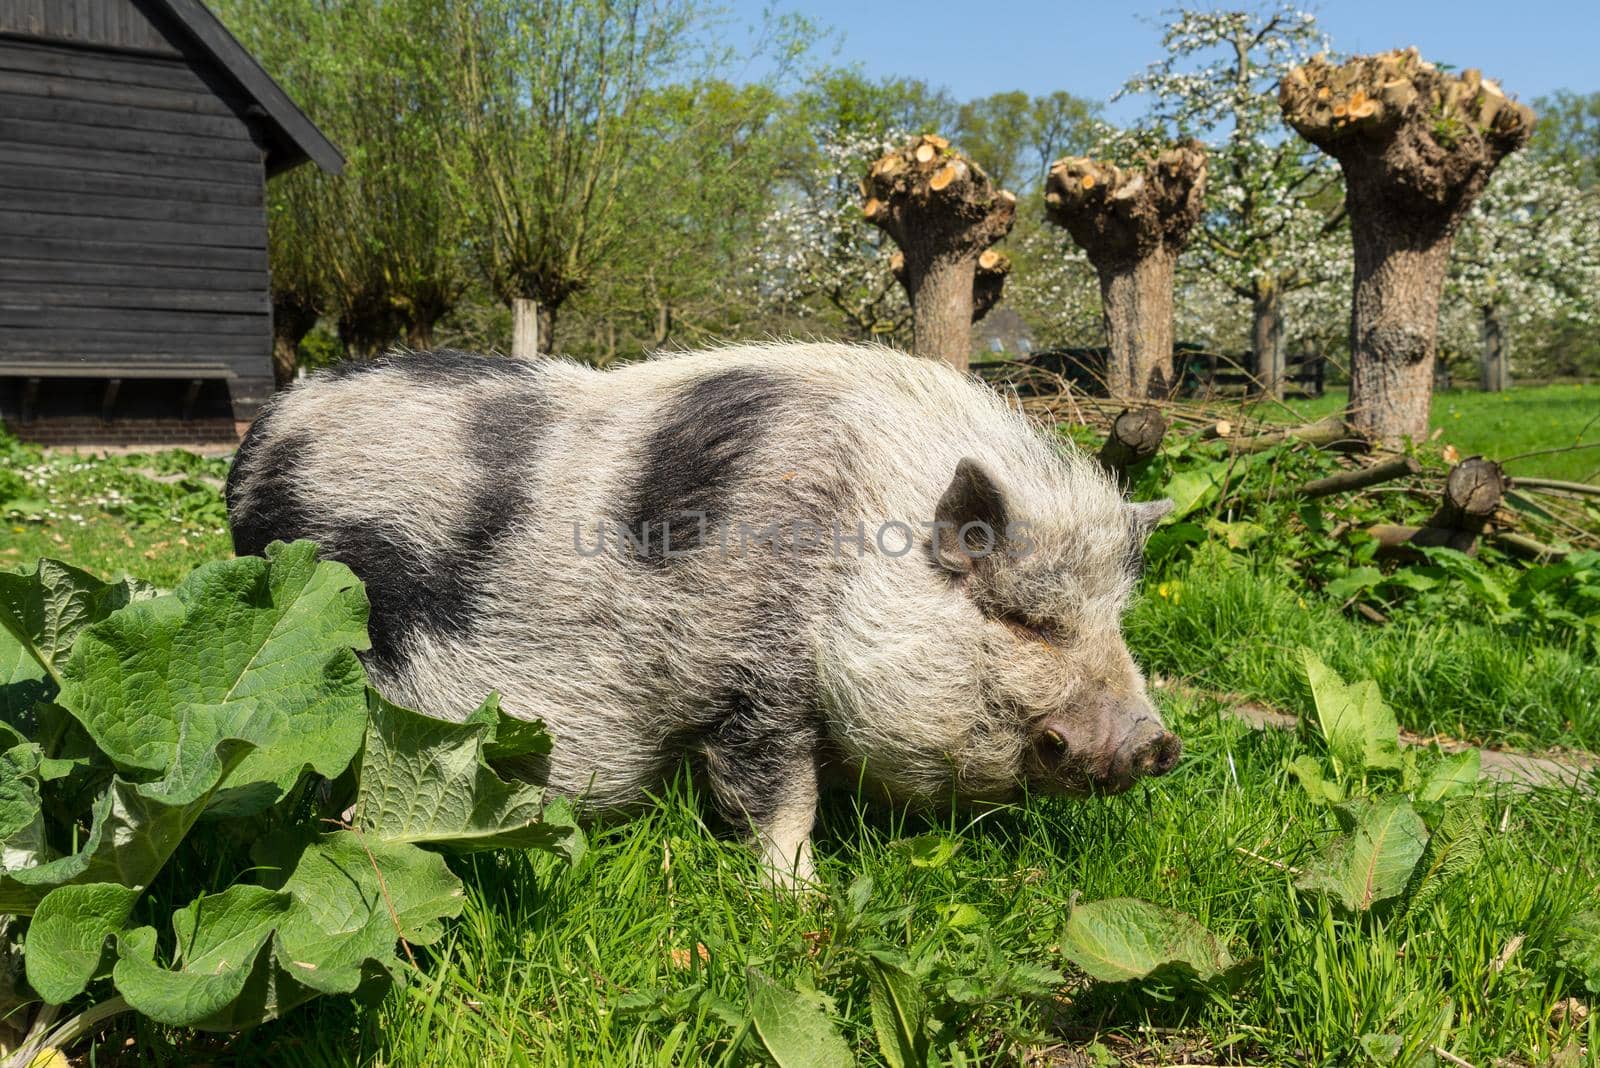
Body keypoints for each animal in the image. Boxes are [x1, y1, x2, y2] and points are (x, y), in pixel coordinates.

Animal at [222, 342, 1177, 882]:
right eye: (1027, 622)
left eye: (1113, 623)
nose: (1157, 744)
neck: (854, 542)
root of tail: (258, 443)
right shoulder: (751, 674)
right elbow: (777, 796)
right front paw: (799, 897)